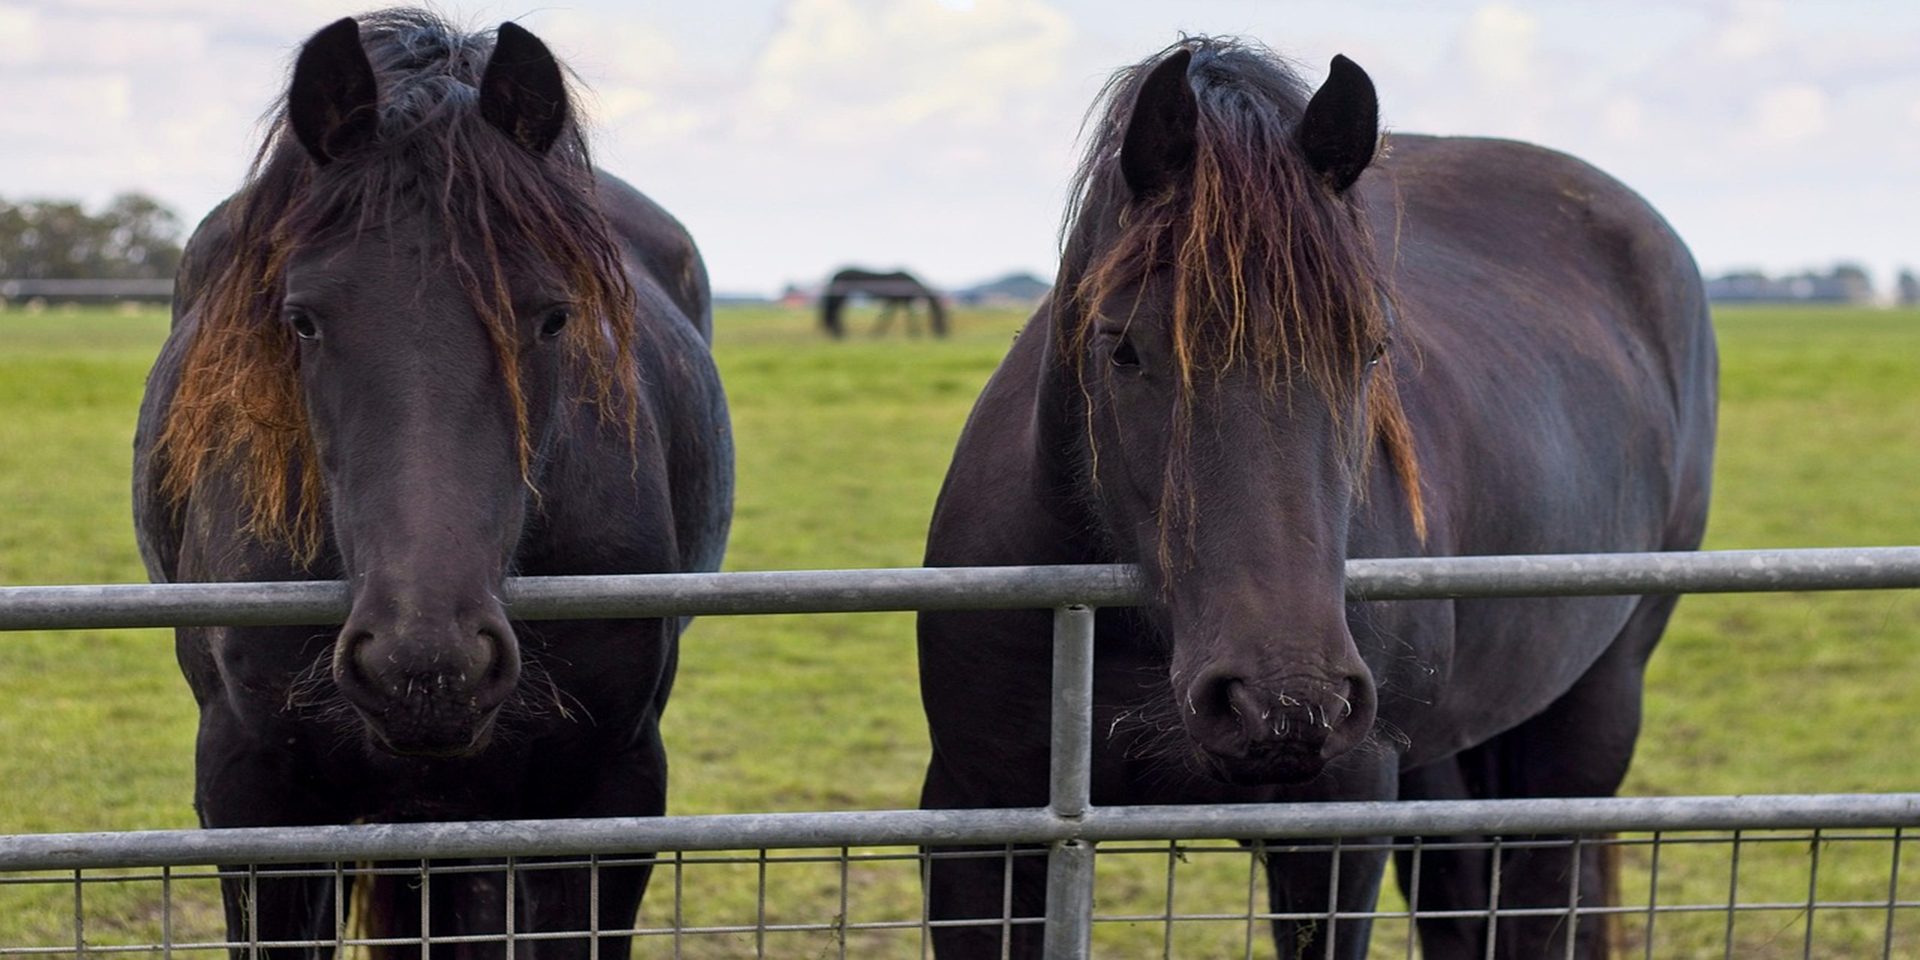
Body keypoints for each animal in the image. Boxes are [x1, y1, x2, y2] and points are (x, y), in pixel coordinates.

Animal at [820, 267, 950, 338]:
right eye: (941, 320)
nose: (944, 335)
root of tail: (835, 274)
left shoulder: (895, 301)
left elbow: (890, 318)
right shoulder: (898, 301)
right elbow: (897, 318)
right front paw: (915, 335)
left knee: (833, 313)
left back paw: (838, 334)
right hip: (842, 295)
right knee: (834, 313)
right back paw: (840, 334)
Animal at [916, 38, 1715, 959]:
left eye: (1371, 350)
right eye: (1124, 349)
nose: (1284, 702)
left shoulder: (1336, 829)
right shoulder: (978, 827)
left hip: (1591, 712)